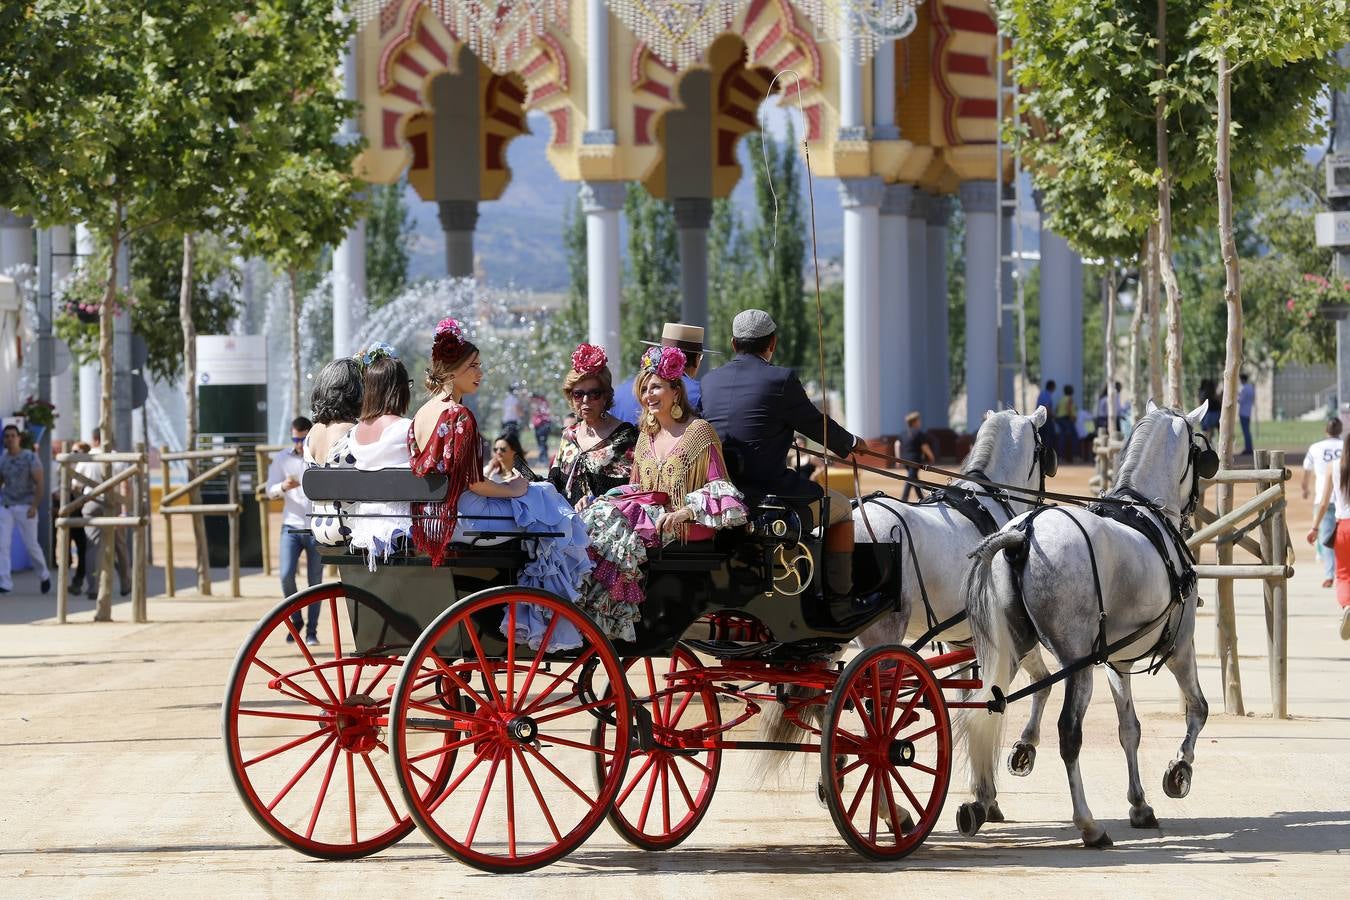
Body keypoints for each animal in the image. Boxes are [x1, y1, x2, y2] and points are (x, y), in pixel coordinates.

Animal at [961, 404, 1215, 847]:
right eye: (1203, 455)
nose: (1190, 513)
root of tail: (1023, 535)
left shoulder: (1118, 661)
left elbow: (1129, 729)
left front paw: (1140, 804)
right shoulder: (1181, 647)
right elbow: (1197, 710)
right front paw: (1179, 771)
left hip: (1009, 651)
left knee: (987, 707)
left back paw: (981, 802)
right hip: (1077, 666)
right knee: (1068, 733)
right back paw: (1088, 824)